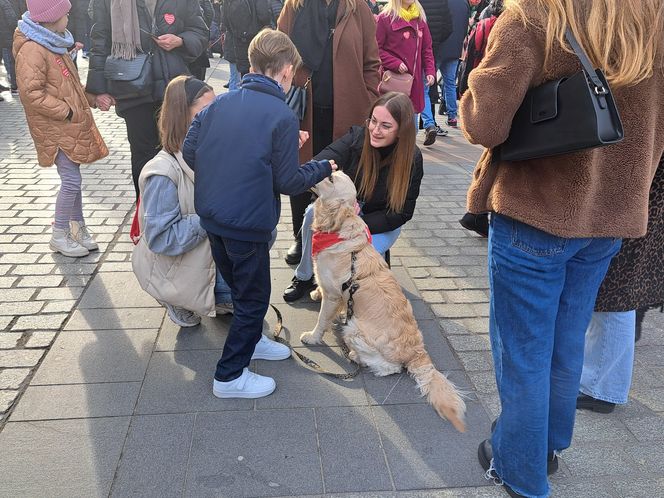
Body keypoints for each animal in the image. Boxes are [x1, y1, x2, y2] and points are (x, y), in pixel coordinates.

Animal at [300, 171, 466, 432]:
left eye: (331, 179)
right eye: (333, 172)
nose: (316, 167)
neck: (338, 228)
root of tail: (417, 351)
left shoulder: (335, 294)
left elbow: (322, 318)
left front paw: (313, 337)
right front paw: (318, 295)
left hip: (355, 329)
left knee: (391, 368)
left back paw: (356, 356)